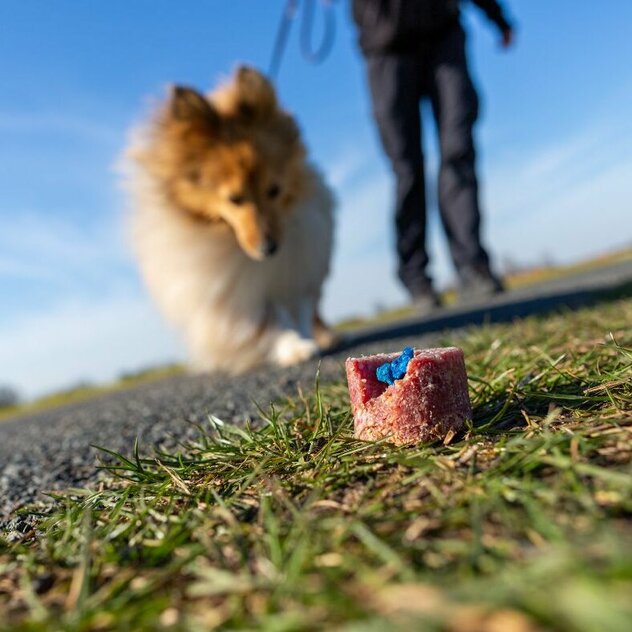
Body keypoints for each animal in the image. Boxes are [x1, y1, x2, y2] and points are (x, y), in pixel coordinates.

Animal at [125, 66, 338, 372]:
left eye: (274, 190)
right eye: (234, 199)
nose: (269, 249)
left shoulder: (298, 268)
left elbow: (300, 308)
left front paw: (306, 339)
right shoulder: (232, 294)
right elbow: (268, 322)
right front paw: (293, 348)